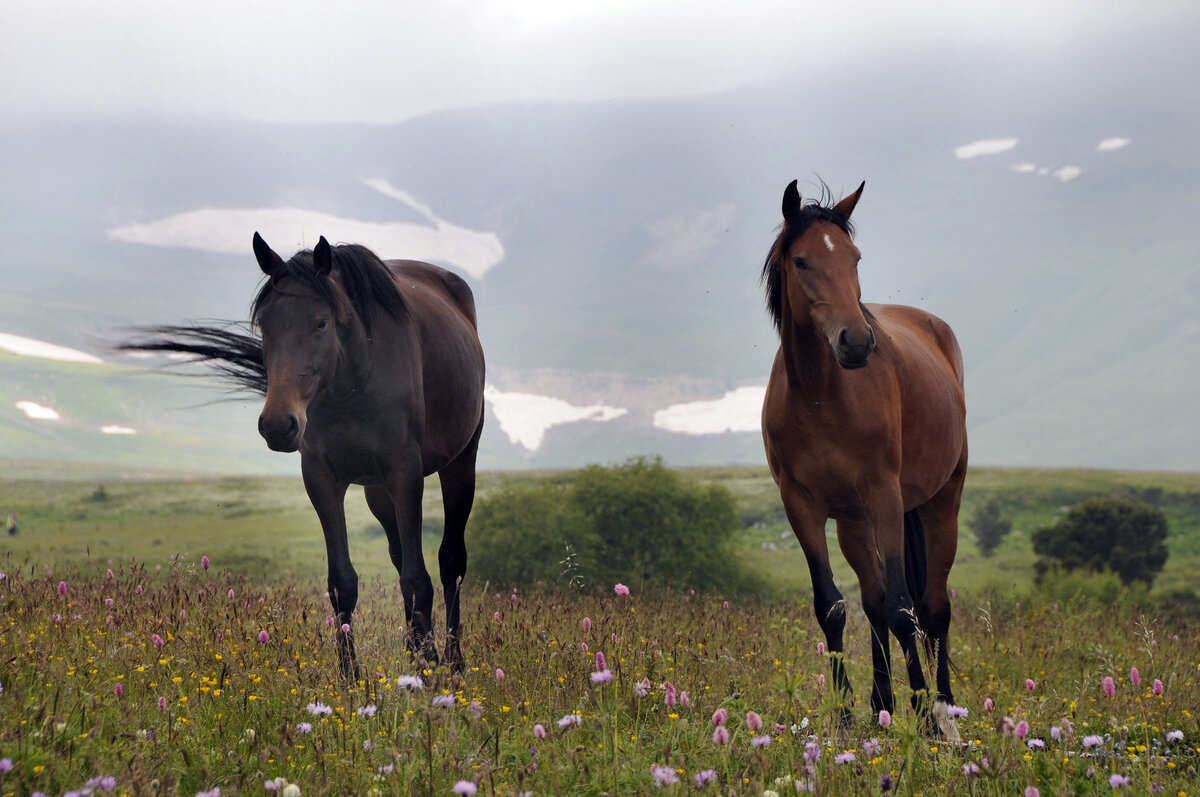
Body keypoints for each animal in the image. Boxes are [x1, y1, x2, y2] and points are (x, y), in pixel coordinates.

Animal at [126, 234, 487, 676]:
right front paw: (351, 678)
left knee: (450, 561)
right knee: (401, 555)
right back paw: (416, 649)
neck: (353, 384)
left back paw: (451, 661)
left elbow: (418, 580)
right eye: (265, 323)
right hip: (377, 493)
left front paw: (427, 670)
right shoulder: (321, 478)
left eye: (321, 322)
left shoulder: (406, 474)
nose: (278, 424)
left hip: (459, 464)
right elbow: (343, 583)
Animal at [763, 180, 969, 734]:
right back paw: (883, 704)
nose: (855, 342)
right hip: (853, 521)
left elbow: (904, 610)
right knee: (873, 601)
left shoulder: (885, 497)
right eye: (801, 261)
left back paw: (944, 710)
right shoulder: (802, 506)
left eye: (854, 258)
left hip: (941, 501)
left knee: (933, 606)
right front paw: (845, 714)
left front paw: (925, 714)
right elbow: (833, 607)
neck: (820, 395)